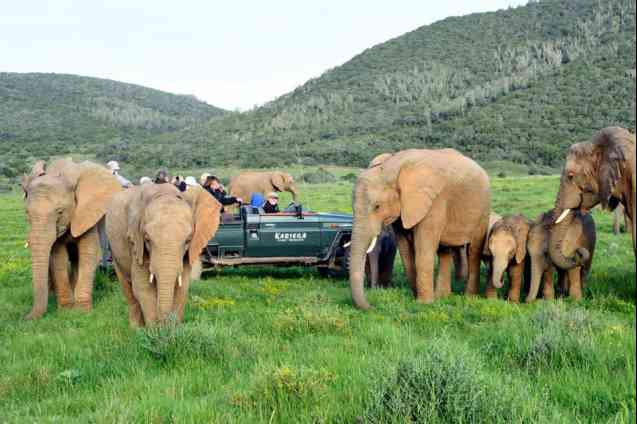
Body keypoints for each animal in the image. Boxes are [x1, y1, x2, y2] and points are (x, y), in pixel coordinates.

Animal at [20, 161, 123, 320]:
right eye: (27, 213)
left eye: (60, 212)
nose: (25, 318)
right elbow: (58, 258)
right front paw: (66, 311)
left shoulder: (87, 214)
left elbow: (88, 254)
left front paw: (82, 312)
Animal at [105, 184, 220, 326]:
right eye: (147, 239)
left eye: (188, 240)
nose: (164, 322)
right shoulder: (136, 243)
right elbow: (143, 287)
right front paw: (155, 330)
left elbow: (182, 287)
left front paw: (172, 329)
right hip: (114, 251)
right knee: (129, 291)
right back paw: (136, 328)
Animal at [348, 149, 492, 308]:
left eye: (377, 206)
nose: (373, 306)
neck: (392, 167)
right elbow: (405, 250)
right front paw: (418, 298)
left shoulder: (434, 202)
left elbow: (423, 248)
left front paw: (424, 304)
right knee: (444, 251)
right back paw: (442, 297)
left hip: (483, 210)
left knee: (473, 251)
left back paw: (469, 298)